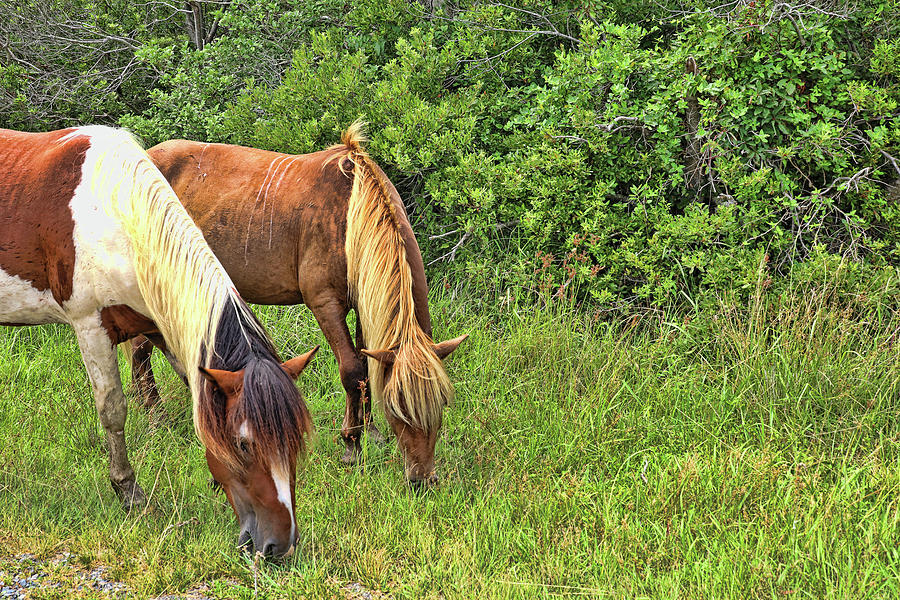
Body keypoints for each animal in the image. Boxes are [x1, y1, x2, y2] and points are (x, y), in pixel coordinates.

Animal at [0, 126, 318, 556]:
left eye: (295, 439)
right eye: (244, 444)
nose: (279, 545)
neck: (117, 216)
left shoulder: (162, 326)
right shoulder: (90, 326)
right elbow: (113, 410)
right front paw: (127, 490)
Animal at [134, 124, 472, 486]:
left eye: (443, 403)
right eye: (397, 409)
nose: (422, 479)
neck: (352, 213)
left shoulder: (366, 305)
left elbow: (366, 369)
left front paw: (370, 433)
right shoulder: (325, 304)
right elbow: (352, 371)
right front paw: (352, 444)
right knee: (141, 349)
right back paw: (155, 417)